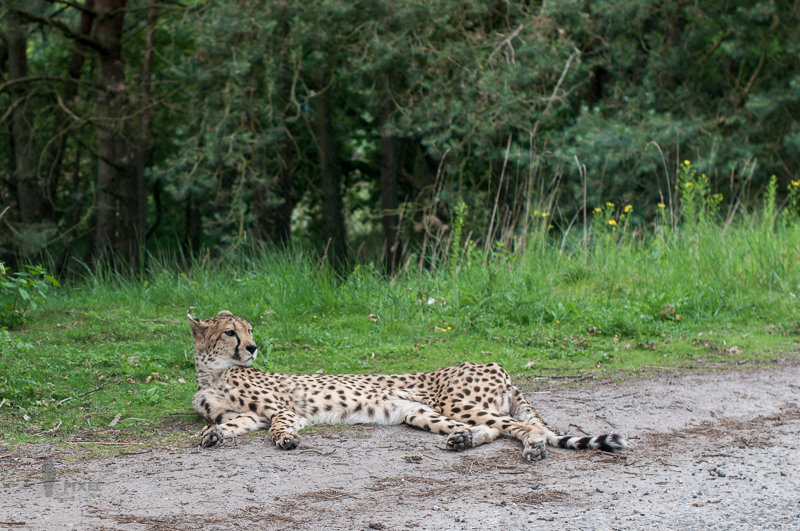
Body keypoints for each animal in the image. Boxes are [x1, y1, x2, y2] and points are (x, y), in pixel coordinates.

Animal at [188, 312, 624, 462]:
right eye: (231, 332)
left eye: (248, 330)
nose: (253, 347)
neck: (213, 372)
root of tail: (494, 363)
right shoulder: (246, 418)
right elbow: (227, 424)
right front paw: (212, 436)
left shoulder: (284, 410)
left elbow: (278, 427)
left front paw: (286, 440)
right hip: (419, 411)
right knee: (490, 430)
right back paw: (462, 441)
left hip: (456, 402)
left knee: (522, 426)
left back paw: (533, 448)